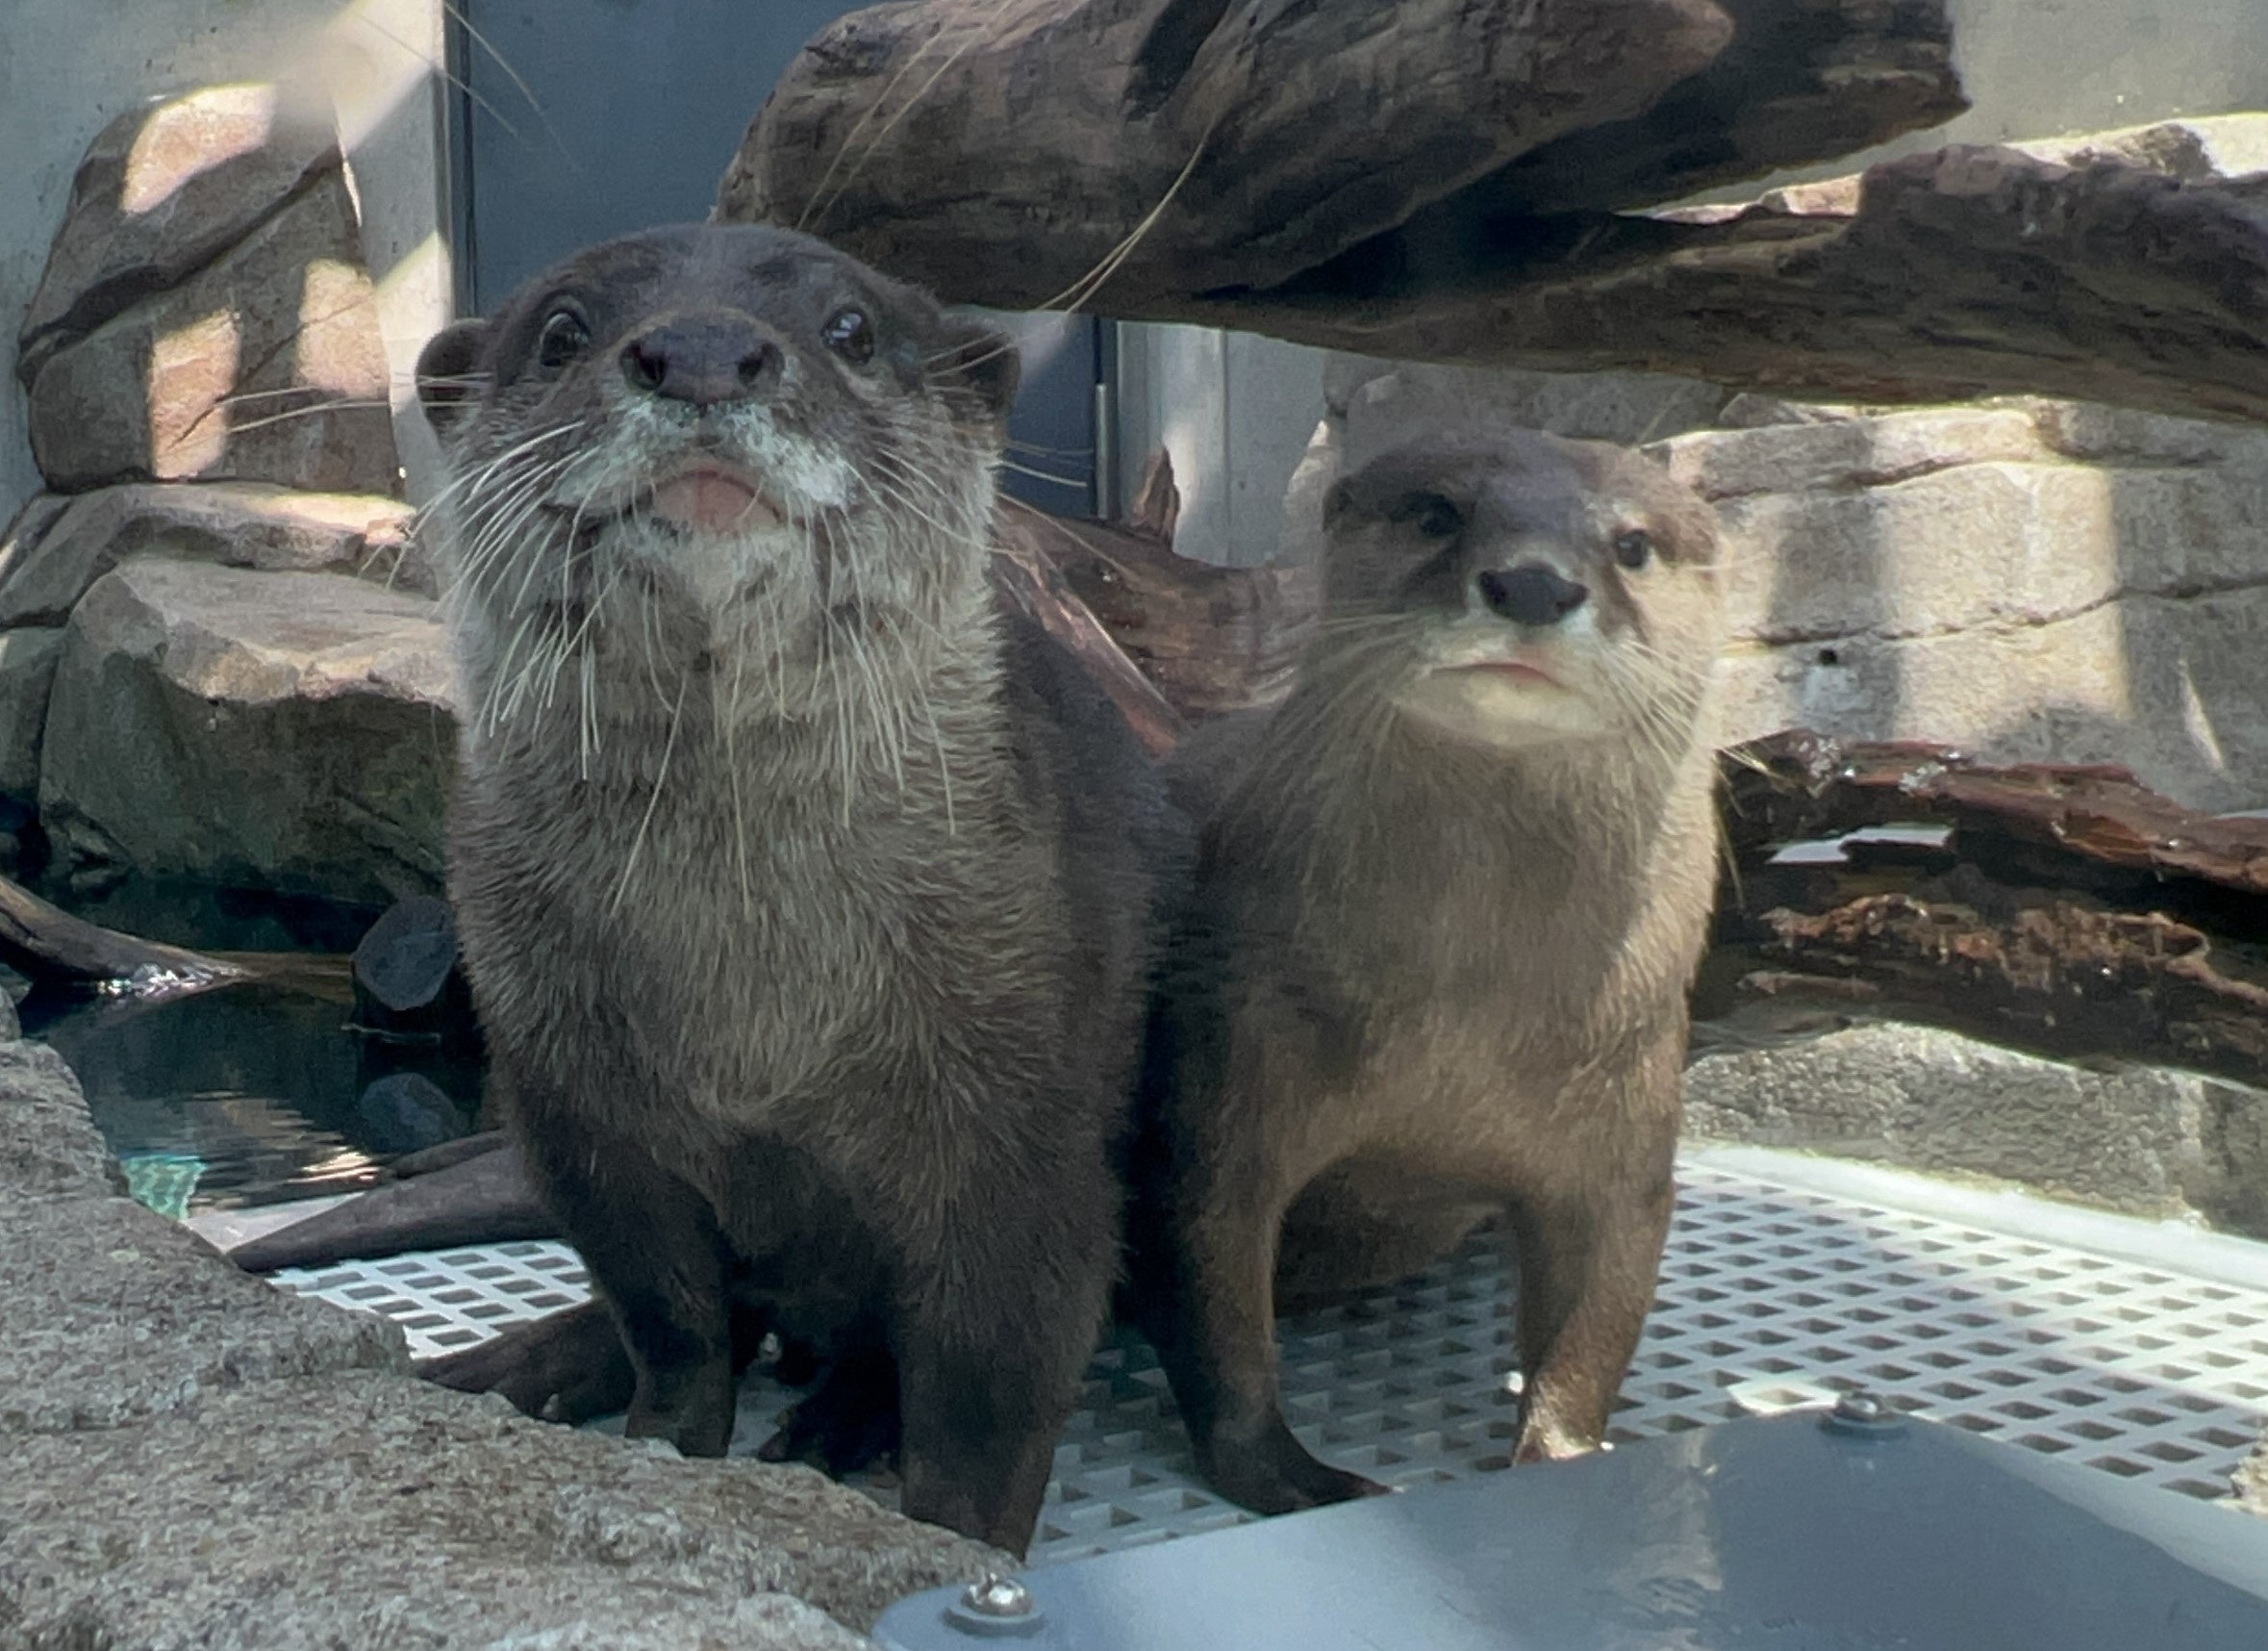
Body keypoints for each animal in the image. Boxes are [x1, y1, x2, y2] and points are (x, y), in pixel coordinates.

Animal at [413, 225, 1170, 1551]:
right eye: (561, 330)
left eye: (851, 329)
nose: (706, 350)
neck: (755, 1010)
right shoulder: (573, 1103)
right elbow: (666, 1313)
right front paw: (661, 1443)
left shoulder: (1030, 1130)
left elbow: (994, 1382)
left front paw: (947, 1543)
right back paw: (526, 1366)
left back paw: (839, 1421)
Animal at [1124, 433, 1724, 1514]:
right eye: (1437, 512)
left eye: (1632, 544)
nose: (1533, 582)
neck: (1461, 1031)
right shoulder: (1229, 1057)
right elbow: (1212, 1278)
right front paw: (1300, 1477)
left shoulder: (1630, 1096)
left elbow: (1599, 1308)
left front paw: (1564, 1458)